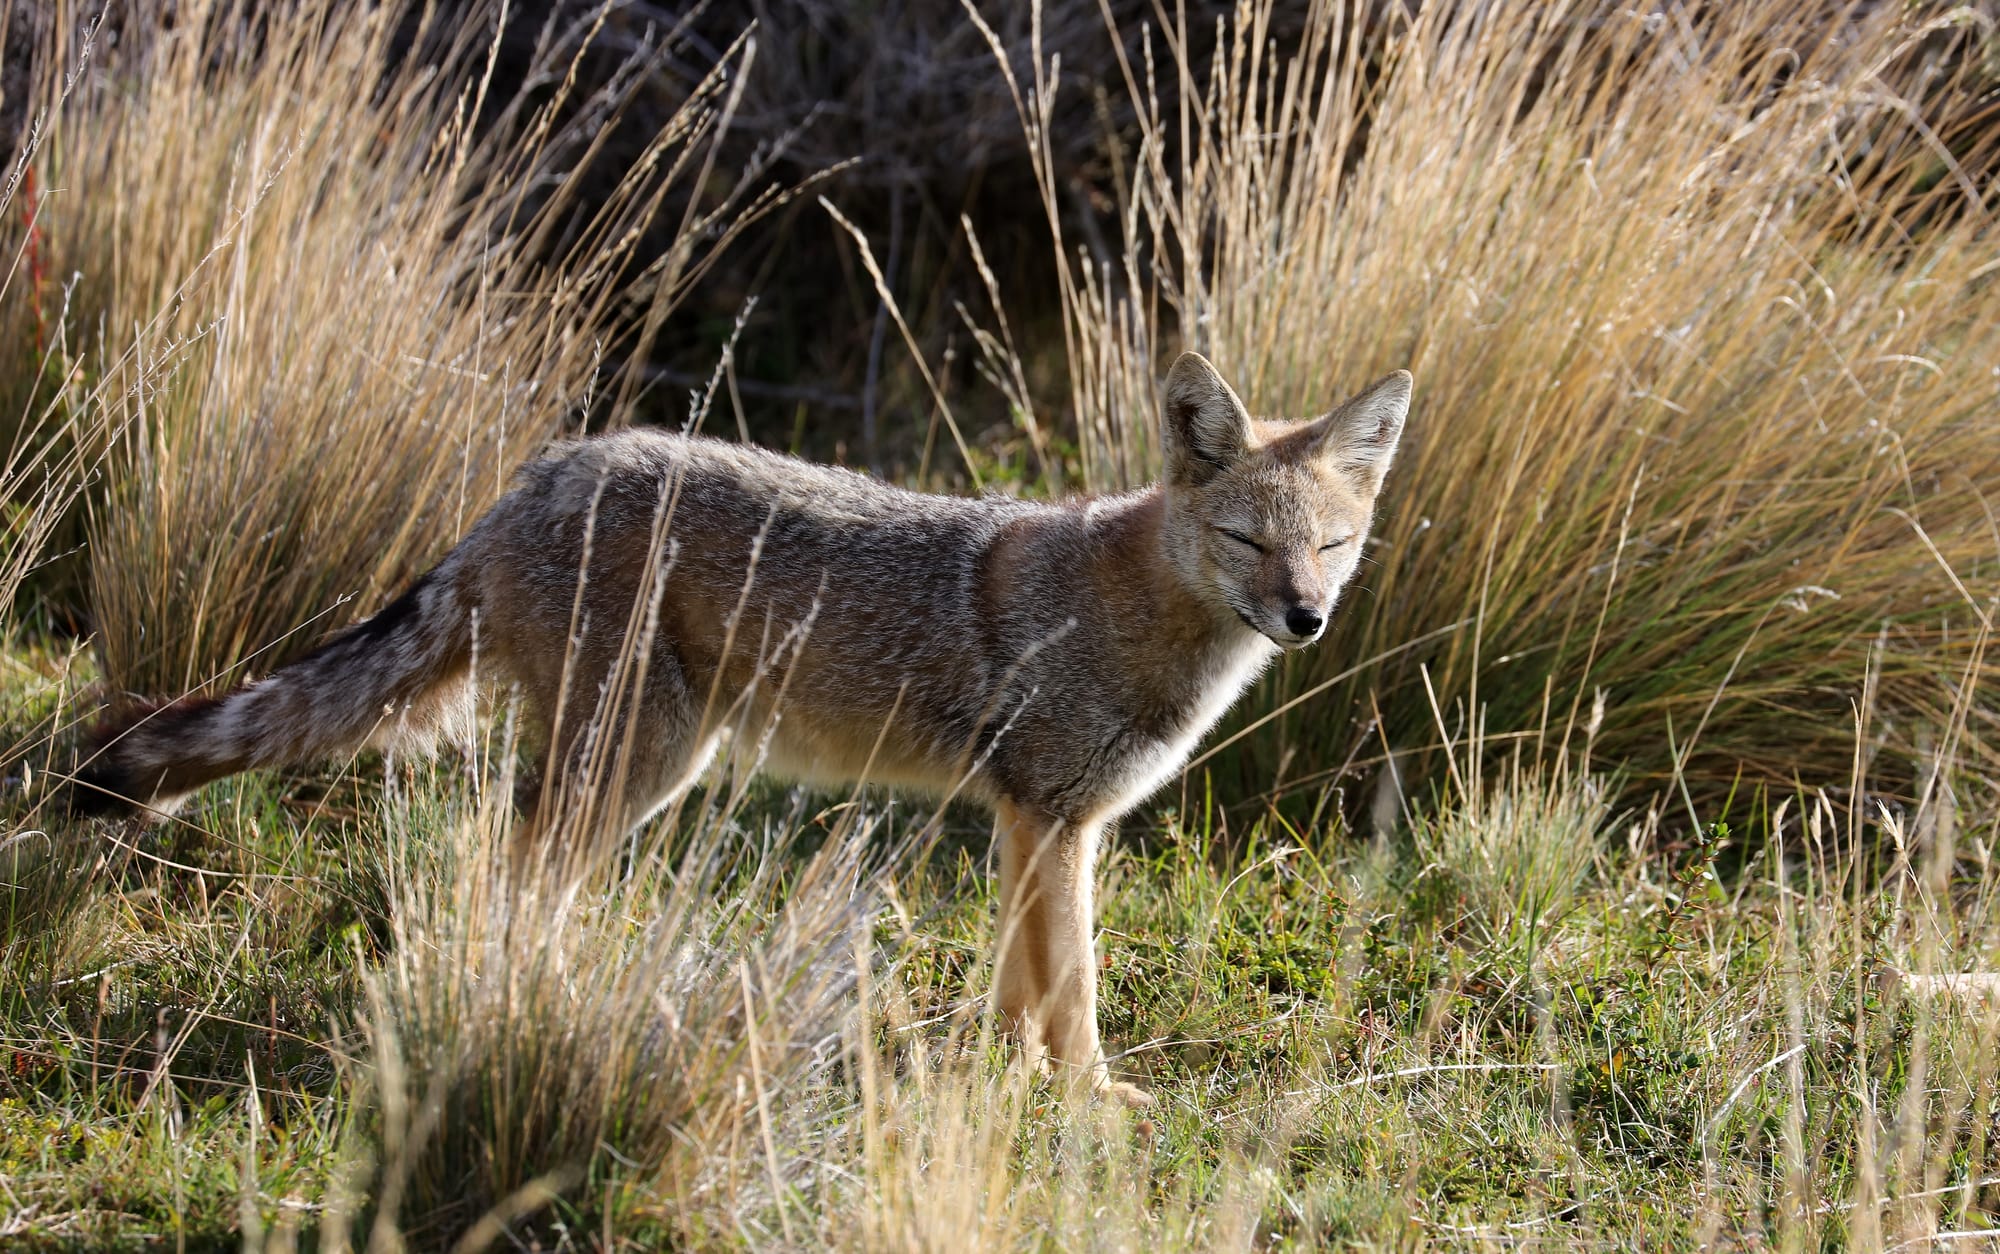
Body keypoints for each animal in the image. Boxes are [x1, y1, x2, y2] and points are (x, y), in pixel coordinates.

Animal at [74, 348, 1408, 1104]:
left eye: (1332, 546)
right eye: (1245, 539)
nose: (1303, 618)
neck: (1138, 610)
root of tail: (526, 483)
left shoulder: (1032, 823)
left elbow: (1019, 989)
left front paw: (1016, 1088)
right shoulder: (1050, 814)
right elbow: (1069, 989)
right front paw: (1090, 1106)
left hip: (644, 763)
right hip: (636, 766)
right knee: (507, 873)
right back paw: (529, 995)